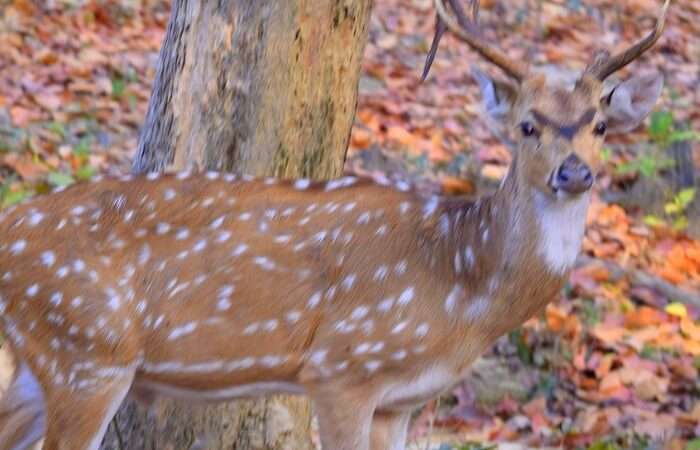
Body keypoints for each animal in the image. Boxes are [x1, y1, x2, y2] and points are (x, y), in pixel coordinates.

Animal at [0, 0, 668, 448]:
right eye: (528, 125)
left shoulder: (401, 401)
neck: (461, 290)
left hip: (50, 364)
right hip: (88, 351)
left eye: (600, 125)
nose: (575, 172)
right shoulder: (342, 367)